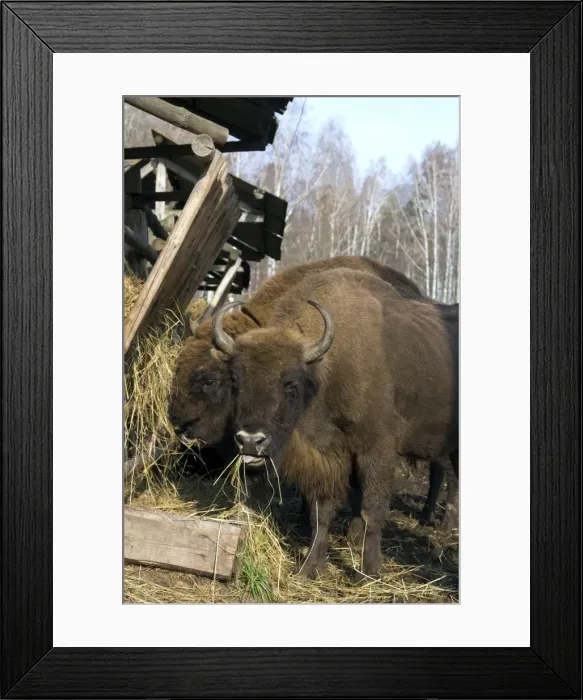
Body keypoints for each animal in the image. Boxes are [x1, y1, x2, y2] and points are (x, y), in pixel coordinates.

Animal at [211, 268, 458, 579]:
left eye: (290, 384)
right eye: (235, 381)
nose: (250, 440)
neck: (325, 371)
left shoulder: (377, 451)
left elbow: (372, 510)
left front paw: (369, 572)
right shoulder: (328, 456)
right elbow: (321, 512)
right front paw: (309, 569)